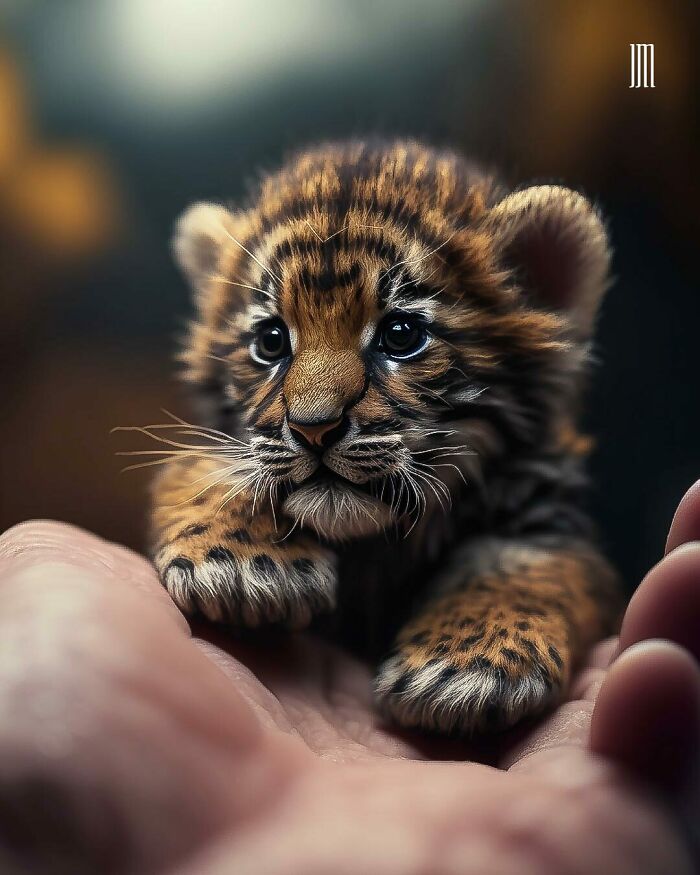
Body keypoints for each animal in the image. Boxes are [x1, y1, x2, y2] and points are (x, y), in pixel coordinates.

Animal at [146, 140, 621, 736]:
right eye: (271, 341)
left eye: (401, 336)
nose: (313, 427)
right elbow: (208, 469)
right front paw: (242, 563)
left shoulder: (545, 515)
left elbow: (523, 570)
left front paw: (463, 669)